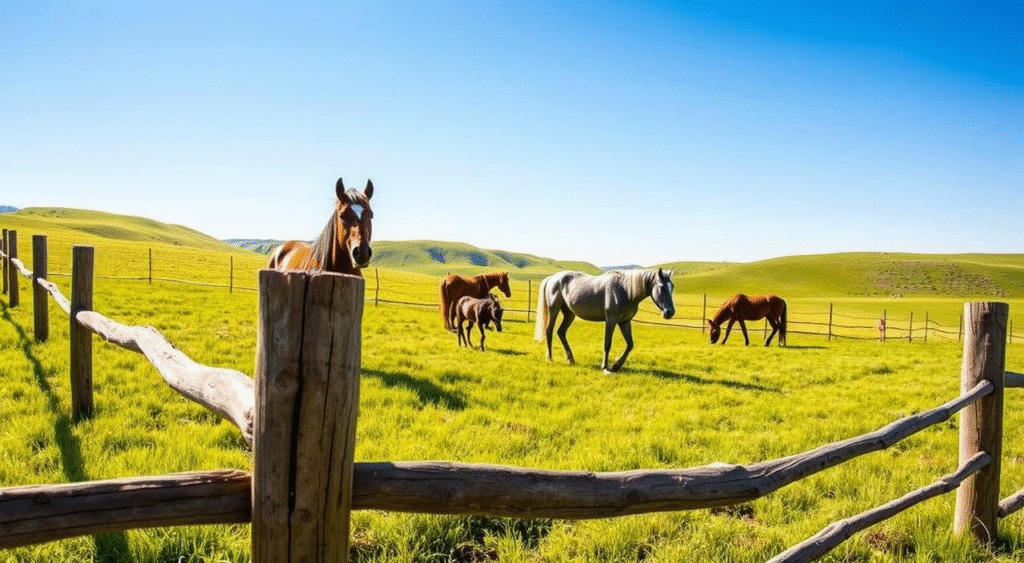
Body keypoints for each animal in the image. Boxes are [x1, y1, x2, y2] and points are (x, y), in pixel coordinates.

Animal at [534, 268, 675, 374]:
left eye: (672, 287)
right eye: (662, 287)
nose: (670, 312)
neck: (625, 290)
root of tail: (552, 278)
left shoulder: (625, 322)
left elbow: (630, 345)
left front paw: (616, 365)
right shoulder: (611, 320)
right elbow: (607, 344)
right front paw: (606, 367)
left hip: (569, 314)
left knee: (561, 332)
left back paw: (571, 359)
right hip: (554, 309)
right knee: (549, 331)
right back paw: (549, 358)